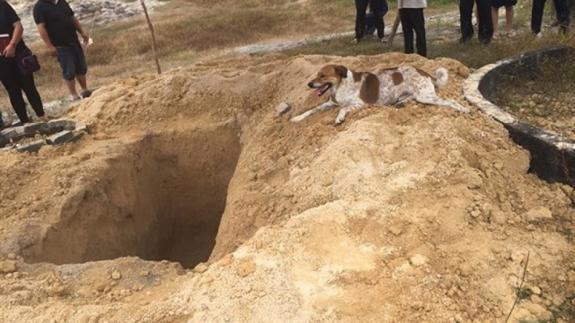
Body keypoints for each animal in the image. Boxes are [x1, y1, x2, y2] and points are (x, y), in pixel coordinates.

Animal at [290, 64, 470, 124]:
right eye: (316, 75)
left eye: (323, 76)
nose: (309, 84)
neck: (340, 86)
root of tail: (425, 73)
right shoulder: (330, 103)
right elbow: (311, 110)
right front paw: (297, 118)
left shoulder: (359, 104)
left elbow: (343, 108)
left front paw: (339, 118)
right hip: (418, 95)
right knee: (410, 98)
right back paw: (400, 102)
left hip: (426, 96)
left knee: (451, 102)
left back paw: (464, 110)